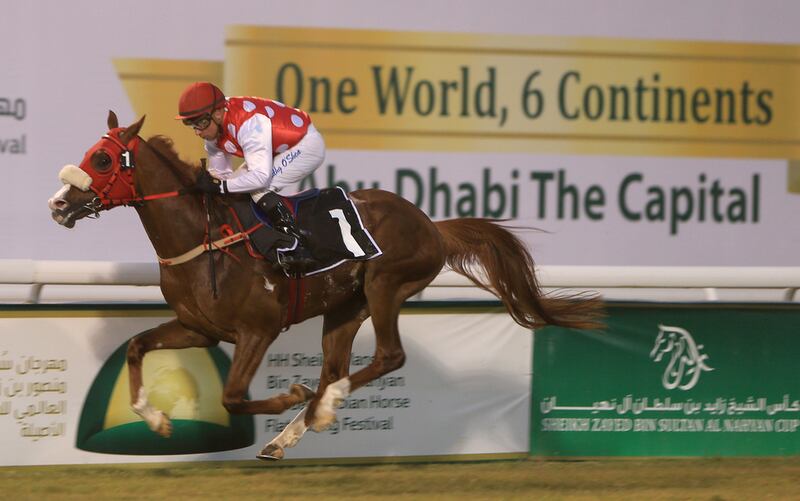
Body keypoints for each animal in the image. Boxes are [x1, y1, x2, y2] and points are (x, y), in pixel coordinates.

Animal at [48, 111, 600, 458]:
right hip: (344, 308)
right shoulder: (197, 328)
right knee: (338, 366)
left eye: (102, 159)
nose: (57, 205)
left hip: (386, 285)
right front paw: (156, 419)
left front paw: (287, 396)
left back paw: (322, 406)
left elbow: (232, 396)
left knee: (387, 357)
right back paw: (288, 434)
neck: (204, 240)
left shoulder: (258, 330)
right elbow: (137, 347)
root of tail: (431, 224)